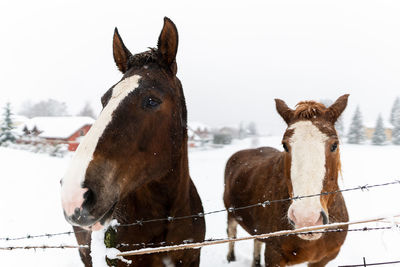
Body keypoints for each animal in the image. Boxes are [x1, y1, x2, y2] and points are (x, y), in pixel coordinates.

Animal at [225, 95, 350, 266]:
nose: (306, 219)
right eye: (285, 145)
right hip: (230, 212)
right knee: (231, 233)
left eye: (334, 145)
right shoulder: (274, 257)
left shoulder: (322, 260)